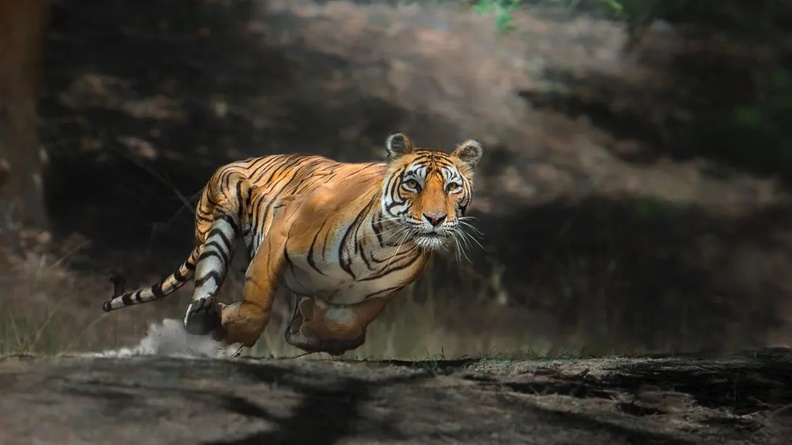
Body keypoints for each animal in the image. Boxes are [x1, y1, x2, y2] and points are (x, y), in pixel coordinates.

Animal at [101, 132, 483, 355]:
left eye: (452, 187)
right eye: (412, 184)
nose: (436, 218)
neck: (385, 244)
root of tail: (238, 158)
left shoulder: (380, 295)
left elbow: (345, 325)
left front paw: (310, 327)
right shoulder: (277, 243)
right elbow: (255, 310)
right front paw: (228, 321)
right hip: (220, 227)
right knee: (199, 296)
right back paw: (205, 321)